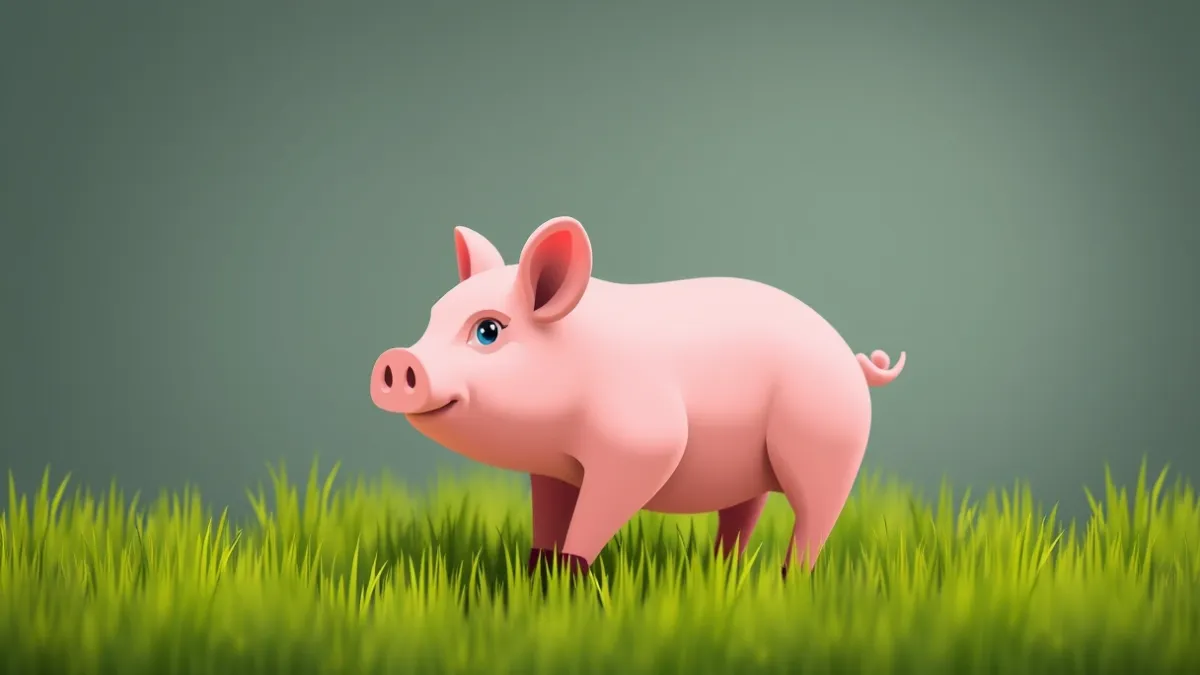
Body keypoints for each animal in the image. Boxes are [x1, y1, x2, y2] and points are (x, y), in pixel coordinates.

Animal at [370, 216, 905, 578]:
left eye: (487, 331)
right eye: (432, 317)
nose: (396, 360)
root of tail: (852, 357)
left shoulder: (644, 442)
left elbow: (599, 516)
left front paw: (568, 585)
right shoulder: (551, 467)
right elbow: (547, 524)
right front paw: (536, 582)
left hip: (831, 443)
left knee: (814, 519)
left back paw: (787, 582)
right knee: (743, 513)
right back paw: (721, 573)